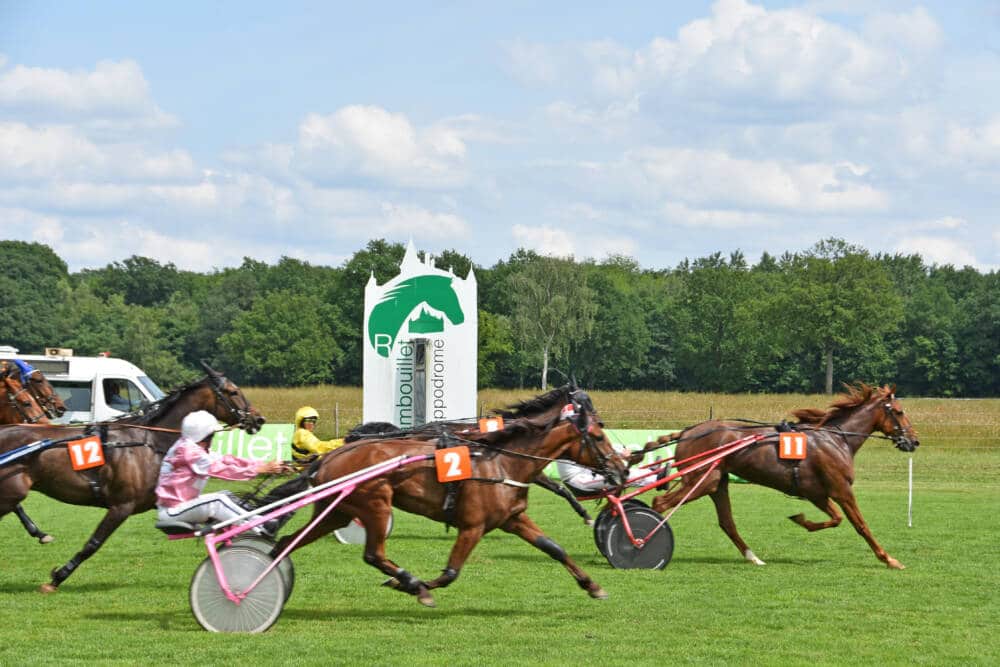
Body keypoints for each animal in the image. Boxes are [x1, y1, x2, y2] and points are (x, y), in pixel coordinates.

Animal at [0, 362, 266, 592]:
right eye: (233, 391)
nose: (258, 419)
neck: (149, 442)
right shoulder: (122, 505)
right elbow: (93, 544)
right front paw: (58, 577)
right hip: (11, 493)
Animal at [270, 386, 620, 612]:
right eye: (598, 434)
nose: (620, 467)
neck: (500, 460)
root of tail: (327, 459)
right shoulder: (472, 526)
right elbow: (451, 573)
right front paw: (414, 587)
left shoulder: (512, 518)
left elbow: (554, 548)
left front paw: (593, 586)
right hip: (375, 505)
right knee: (373, 554)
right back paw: (412, 583)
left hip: (337, 512)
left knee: (288, 541)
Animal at [648, 386, 920, 568]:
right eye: (899, 411)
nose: (914, 441)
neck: (836, 439)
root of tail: (688, 431)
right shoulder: (842, 490)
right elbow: (860, 525)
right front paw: (889, 559)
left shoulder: (817, 494)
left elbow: (835, 519)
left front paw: (801, 520)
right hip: (701, 480)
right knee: (660, 503)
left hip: (716, 482)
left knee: (727, 522)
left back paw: (753, 557)